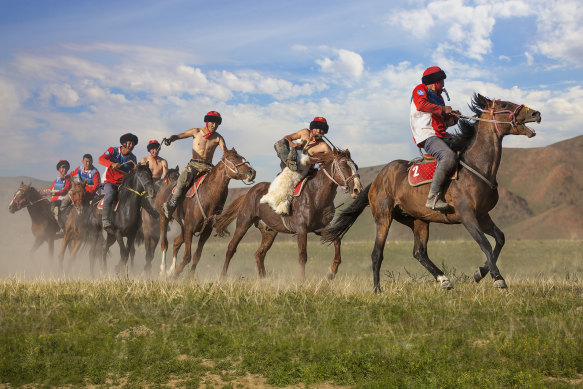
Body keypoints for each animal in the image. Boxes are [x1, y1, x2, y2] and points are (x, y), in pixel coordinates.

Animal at [157, 147, 256, 278]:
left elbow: (196, 256)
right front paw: (175, 274)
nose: (252, 172)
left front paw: (189, 277)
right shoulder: (189, 228)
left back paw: (169, 270)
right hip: (164, 218)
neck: (207, 195)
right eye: (234, 158)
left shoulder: (204, 232)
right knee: (165, 243)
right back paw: (163, 271)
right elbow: (187, 256)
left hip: (183, 227)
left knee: (176, 242)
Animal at [214, 148, 360, 278]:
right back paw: (222, 277)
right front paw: (302, 281)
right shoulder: (302, 230)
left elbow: (337, 240)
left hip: (269, 232)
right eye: (343, 166)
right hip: (243, 224)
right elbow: (303, 257)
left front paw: (332, 271)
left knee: (259, 254)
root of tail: (248, 193)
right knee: (231, 248)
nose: (357, 189)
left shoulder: (320, 228)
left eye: (356, 166)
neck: (315, 194)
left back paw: (264, 280)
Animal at [324, 93, 544, 292]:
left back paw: (444, 279)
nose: (536, 113)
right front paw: (498, 278)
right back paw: (378, 290)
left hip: (418, 220)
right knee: (377, 253)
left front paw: (479, 273)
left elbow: (499, 239)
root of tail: (377, 180)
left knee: (419, 252)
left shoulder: (482, 215)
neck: (477, 166)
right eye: (505, 104)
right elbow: (485, 244)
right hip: (384, 217)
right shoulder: (467, 216)